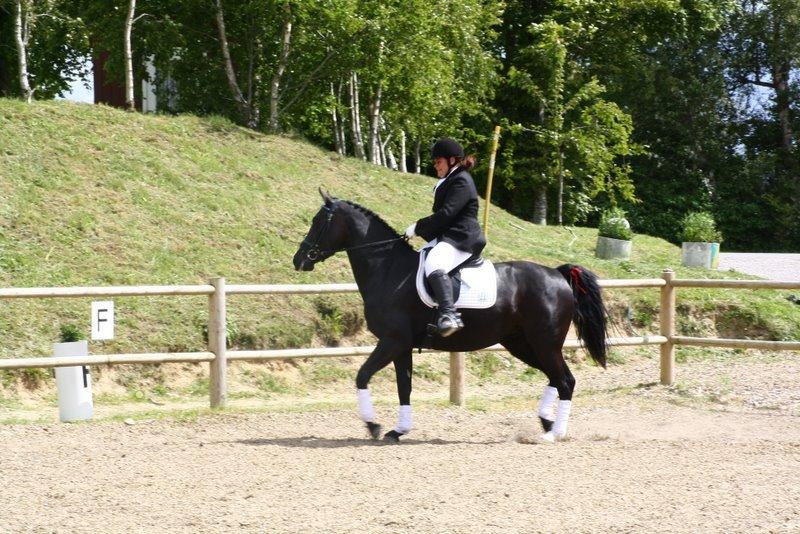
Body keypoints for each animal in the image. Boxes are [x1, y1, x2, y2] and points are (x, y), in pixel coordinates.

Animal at [294, 192, 608, 444]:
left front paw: (372, 425)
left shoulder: (392, 341)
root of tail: (557, 274)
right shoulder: (402, 346)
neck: (388, 269)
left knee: (565, 381)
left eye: (319, 221)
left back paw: (556, 433)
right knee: (557, 378)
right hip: (522, 344)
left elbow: (362, 375)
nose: (298, 260)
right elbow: (404, 387)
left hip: (544, 343)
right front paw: (398, 430)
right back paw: (547, 423)